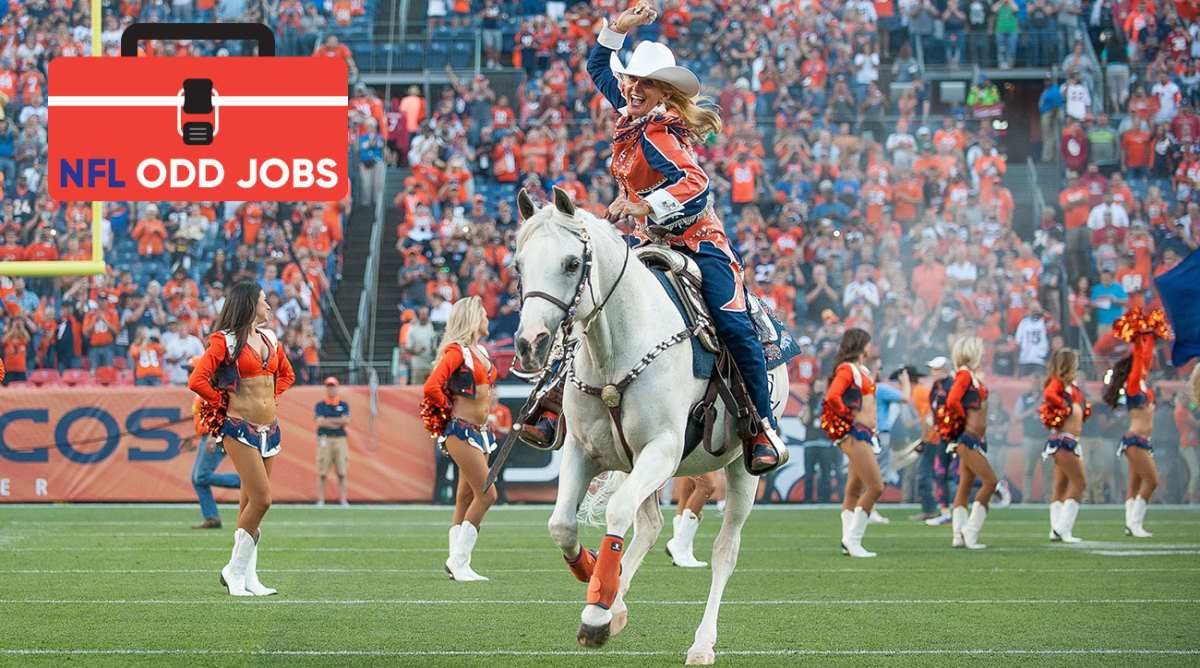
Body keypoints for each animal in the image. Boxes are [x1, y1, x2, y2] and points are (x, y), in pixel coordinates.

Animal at [513, 187, 787, 662]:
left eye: (571, 263)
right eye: (518, 264)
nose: (531, 343)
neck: (617, 348)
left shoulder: (662, 450)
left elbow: (617, 513)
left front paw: (595, 616)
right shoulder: (584, 450)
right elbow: (562, 525)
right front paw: (592, 575)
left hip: (740, 469)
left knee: (725, 550)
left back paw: (701, 643)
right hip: (632, 463)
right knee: (650, 526)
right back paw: (618, 606)